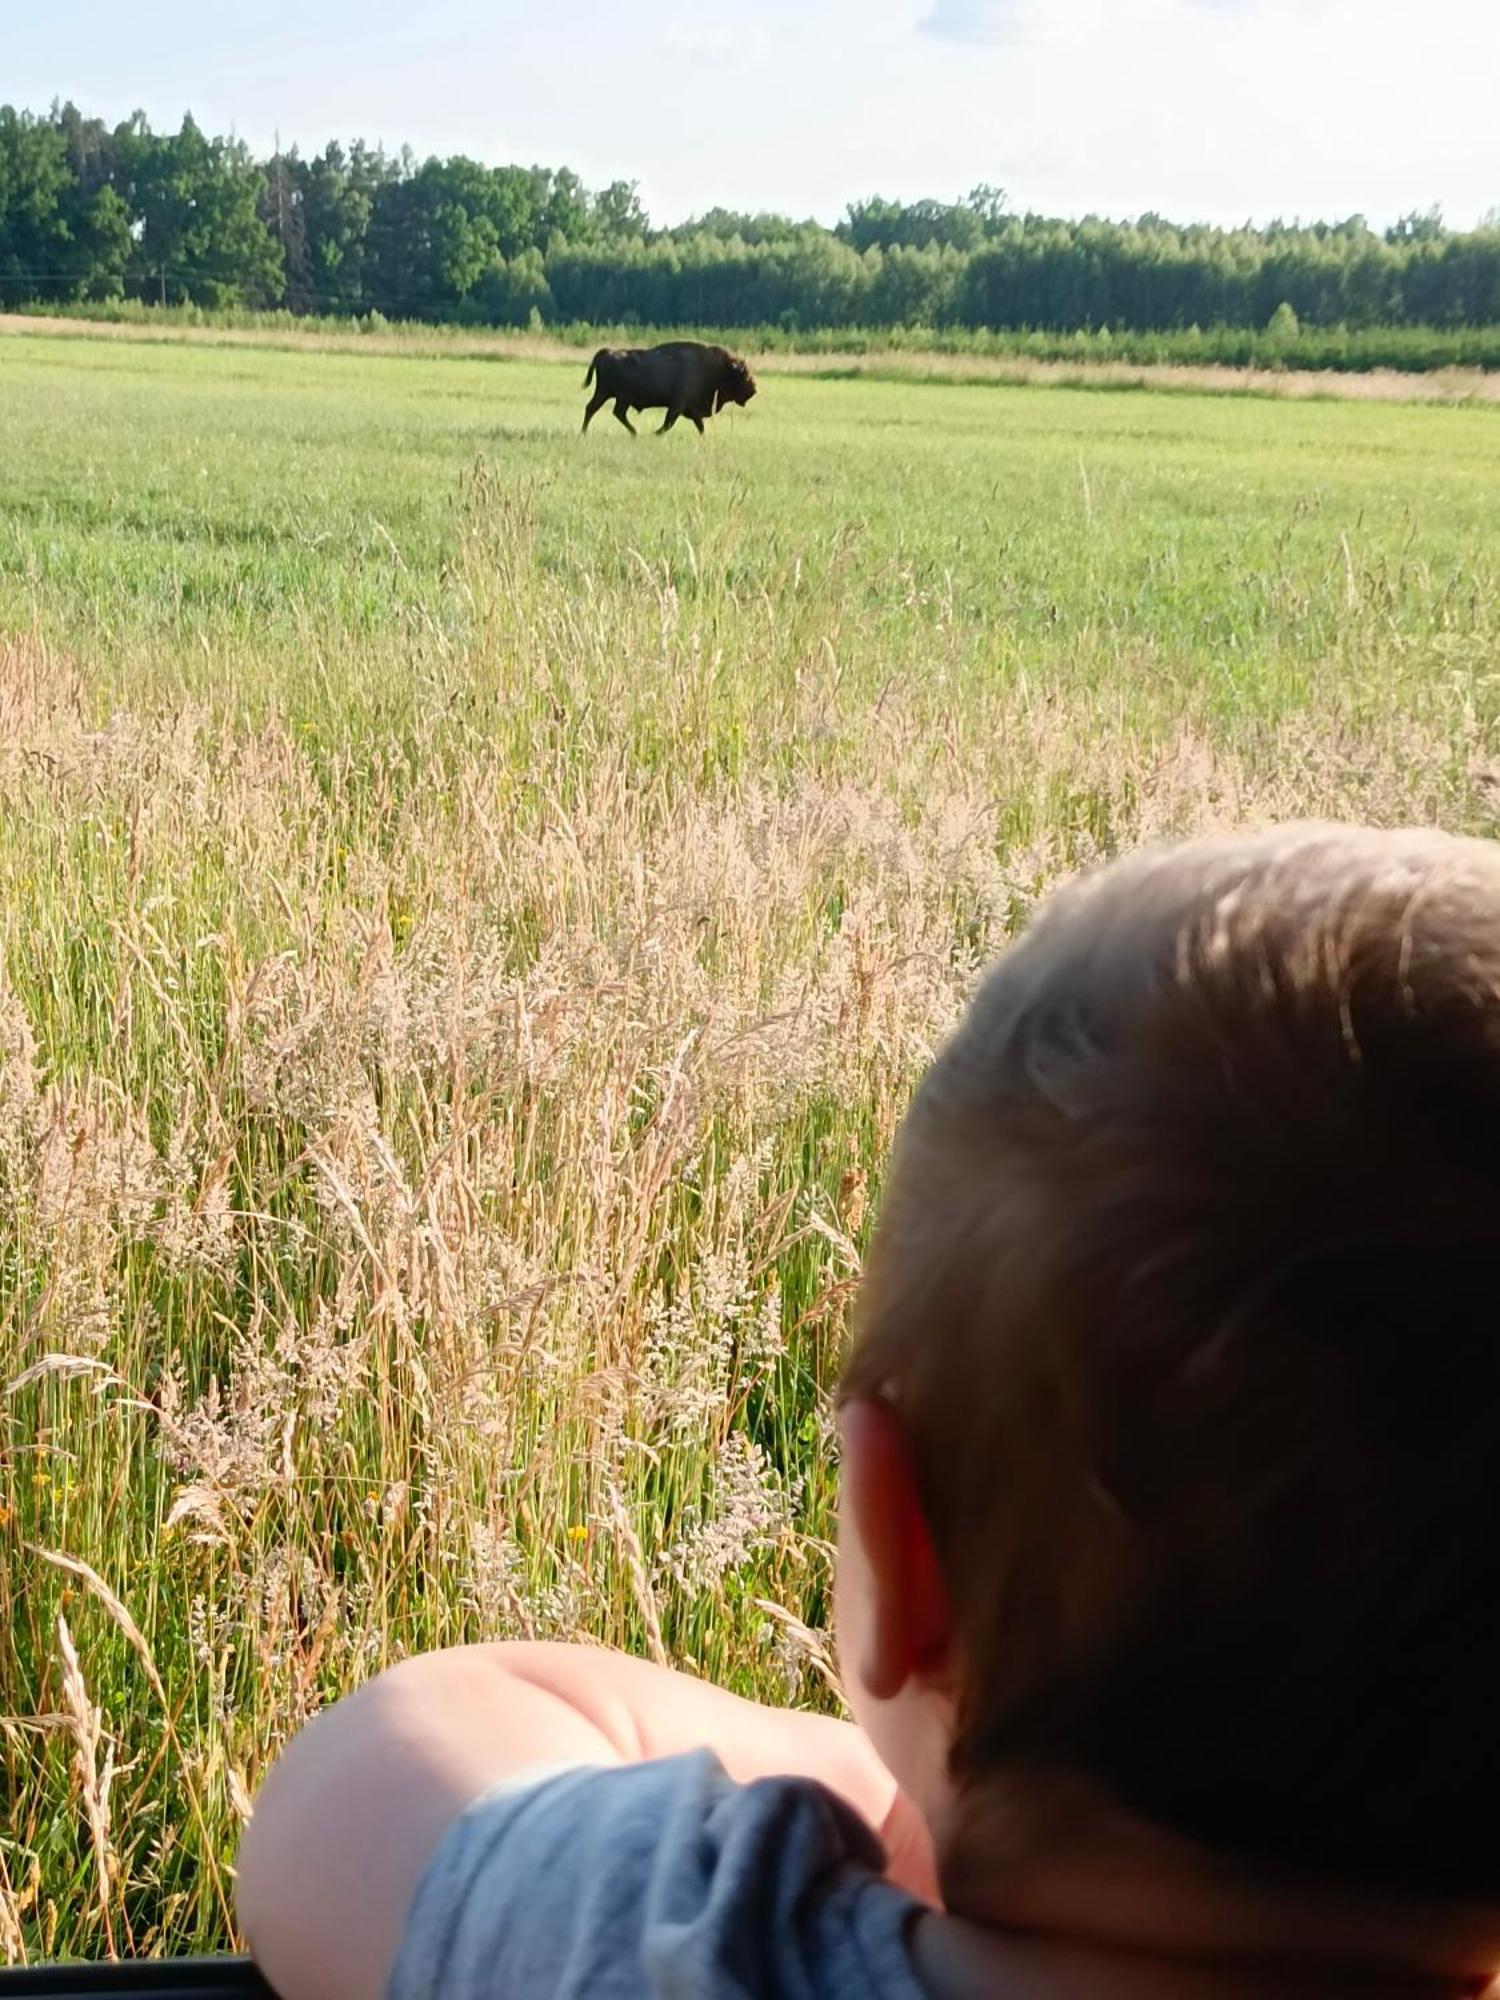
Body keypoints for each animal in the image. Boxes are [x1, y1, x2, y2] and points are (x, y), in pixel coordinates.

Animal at [580, 340, 756, 438]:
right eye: (745, 375)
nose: (754, 390)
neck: (719, 368)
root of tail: (607, 352)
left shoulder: (691, 409)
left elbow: (700, 426)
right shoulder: (678, 405)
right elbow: (669, 422)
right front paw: (654, 434)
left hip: (605, 393)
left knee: (592, 408)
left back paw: (584, 433)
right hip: (619, 396)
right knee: (616, 412)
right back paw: (635, 433)